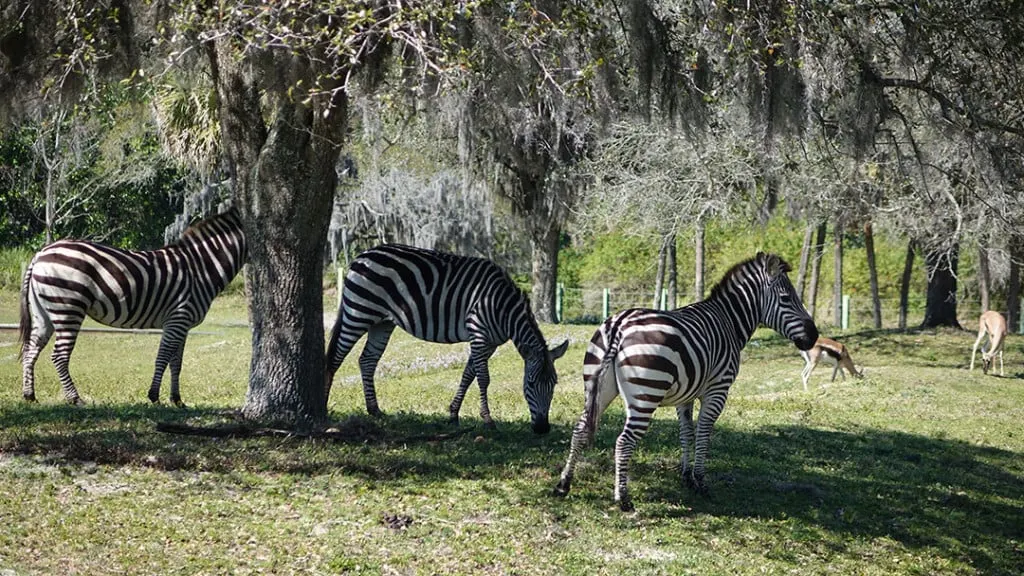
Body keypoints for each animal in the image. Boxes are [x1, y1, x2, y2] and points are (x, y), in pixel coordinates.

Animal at [18, 206, 246, 403]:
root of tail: (40, 254)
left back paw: (29, 395)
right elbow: (163, 357)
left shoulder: (184, 324)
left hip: (43, 312)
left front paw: (177, 399)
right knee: (59, 356)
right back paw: (75, 399)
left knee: (31, 349)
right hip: (67, 307)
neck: (200, 269)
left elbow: (176, 363)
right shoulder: (177, 318)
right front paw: (154, 396)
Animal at [323, 243, 569, 432]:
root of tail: (362, 255)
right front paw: (487, 419)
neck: (504, 308)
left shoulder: (490, 343)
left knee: (367, 360)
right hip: (359, 312)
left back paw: (374, 410)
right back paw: (324, 405)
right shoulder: (478, 334)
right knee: (335, 357)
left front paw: (453, 414)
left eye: (554, 384)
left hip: (382, 322)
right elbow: (483, 378)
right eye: (530, 383)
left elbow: (468, 374)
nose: (542, 429)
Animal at [552, 251, 815, 506]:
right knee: (623, 442)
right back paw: (623, 499)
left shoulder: (685, 395)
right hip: (645, 395)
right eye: (786, 298)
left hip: (597, 387)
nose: (814, 336)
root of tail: (620, 325)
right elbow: (704, 432)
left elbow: (686, 432)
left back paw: (564, 484)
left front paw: (687, 477)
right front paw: (700, 481)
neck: (729, 322)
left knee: (580, 429)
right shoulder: (718, 390)